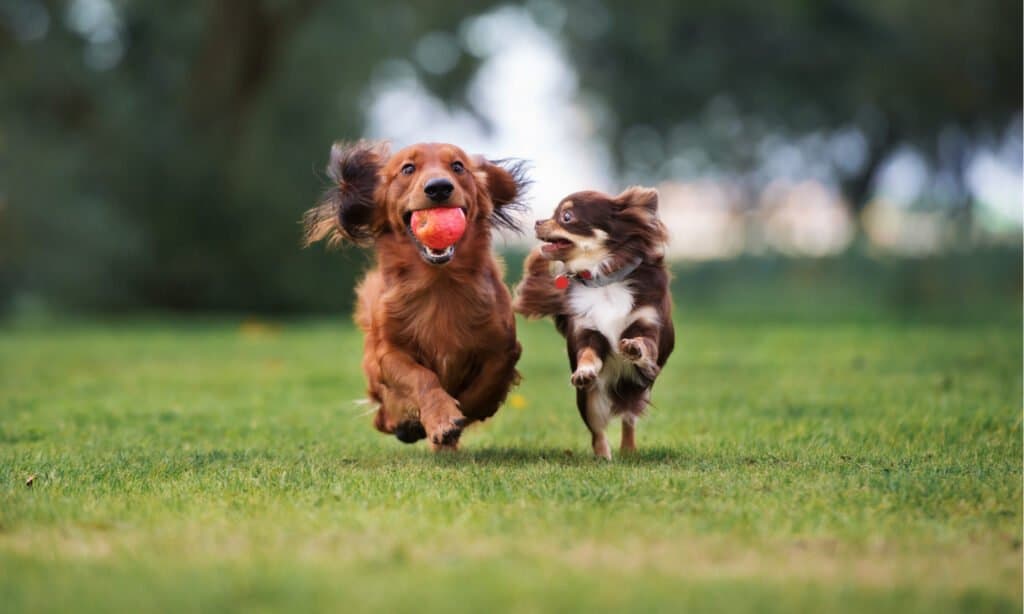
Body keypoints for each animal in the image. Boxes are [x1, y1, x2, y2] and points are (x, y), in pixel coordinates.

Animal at [512, 189, 671, 458]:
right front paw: (585, 371)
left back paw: (628, 450)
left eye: (566, 216)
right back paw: (603, 457)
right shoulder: (588, 332)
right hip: (588, 400)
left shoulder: (648, 324)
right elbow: (587, 354)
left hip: (639, 389)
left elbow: (645, 343)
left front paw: (634, 348)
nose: (537, 222)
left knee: (629, 418)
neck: (603, 280)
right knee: (598, 431)